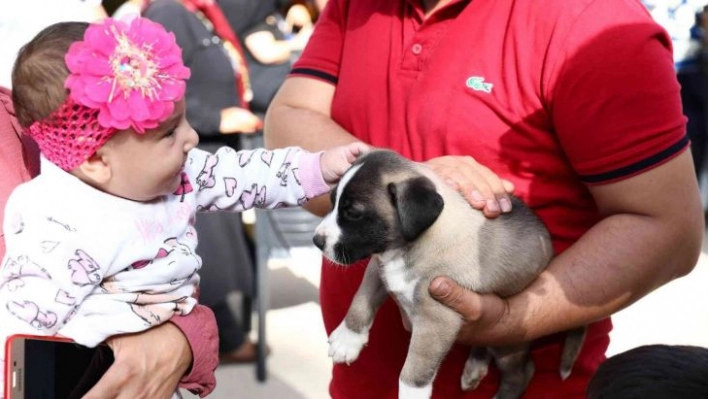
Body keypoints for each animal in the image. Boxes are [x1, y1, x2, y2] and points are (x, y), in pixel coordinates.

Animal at [314, 150, 588, 399]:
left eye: (353, 213)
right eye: (332, 201)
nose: (317, 240)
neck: (409, 247)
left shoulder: (436, 319)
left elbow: (413, 371)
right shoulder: (378, 267)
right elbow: (361, 299)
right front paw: (348, 339)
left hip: (510, 342)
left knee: (522, 372)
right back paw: (474, 368)